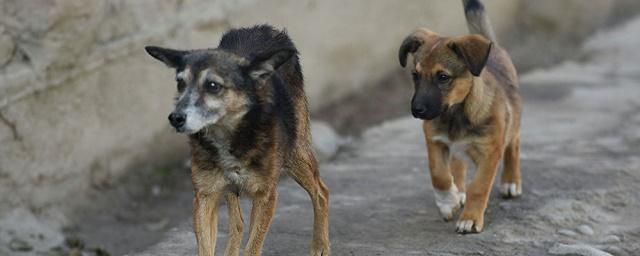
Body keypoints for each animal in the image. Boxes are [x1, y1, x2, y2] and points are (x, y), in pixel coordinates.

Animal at [145, 24, 330, 256]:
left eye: (213, 85)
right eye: (180, 83)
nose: (175, 118)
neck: (229, 138)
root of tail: (266, 29)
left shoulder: (266, 196)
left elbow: (253, 246)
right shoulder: (205, 195)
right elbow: (208, 244)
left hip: (295, 153)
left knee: (321, 192)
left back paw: (320, 246)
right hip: (231, 189)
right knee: (238, 222)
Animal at [398, 0, 524, 233]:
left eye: (443, 77)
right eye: (415, 75)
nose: (417, 110)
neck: (455, 114)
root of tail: (492, 46)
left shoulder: (490, 152)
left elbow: (479, 187)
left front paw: (470, 219)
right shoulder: (435, 141)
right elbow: (439, 175)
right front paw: (448, 200)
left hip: (513, 123)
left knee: (514, 145)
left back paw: (511, 181)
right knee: (457, 165)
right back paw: (458, 191)